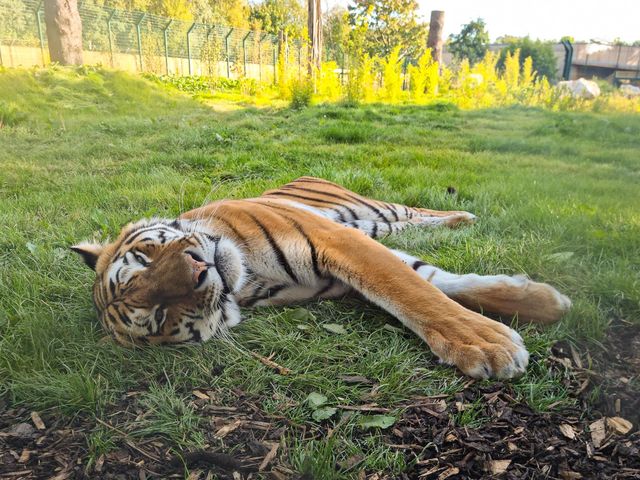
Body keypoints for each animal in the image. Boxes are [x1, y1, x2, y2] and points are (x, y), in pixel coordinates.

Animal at [72, 176, 572, 378]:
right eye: (158, 315)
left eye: (146, 255)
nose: (199, 270)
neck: (247, 281)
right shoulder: (343, 278)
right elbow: (430, 282)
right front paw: (546, 304)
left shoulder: (336, 241)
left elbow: (411, 292)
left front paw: (490, 346)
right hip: (378, 226)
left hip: (376, 213)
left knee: (419, 211)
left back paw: (463, 217)